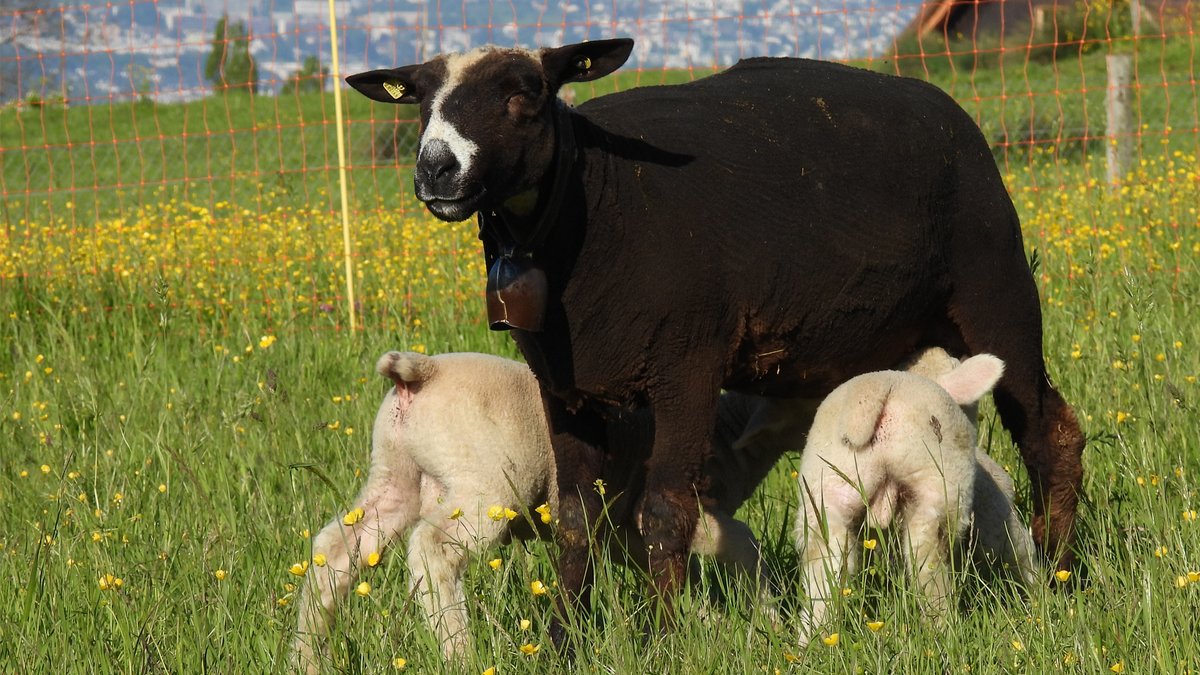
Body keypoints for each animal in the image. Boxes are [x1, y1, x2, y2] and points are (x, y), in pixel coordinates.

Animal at [293, 350, 806, 671]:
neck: (728, 439)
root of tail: (422, 372)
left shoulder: (623, 535)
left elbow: (682, 577)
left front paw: (710, 624)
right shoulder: (671, 516)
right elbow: (743, 545)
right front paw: (770, 622)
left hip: (397, 475)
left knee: (336, 550)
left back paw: (307, 656)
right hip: (485, 484)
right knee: (432, 549)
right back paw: (460, 654)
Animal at [794, 351, 1039, 644]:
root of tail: (875, 396)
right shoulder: (994, 513)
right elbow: (1021, 553)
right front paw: (1041, 597)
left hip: (826, 490)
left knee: (825, 565)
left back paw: (814, 640)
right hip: (936, 481)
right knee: (925, 556)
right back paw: (942, 631)